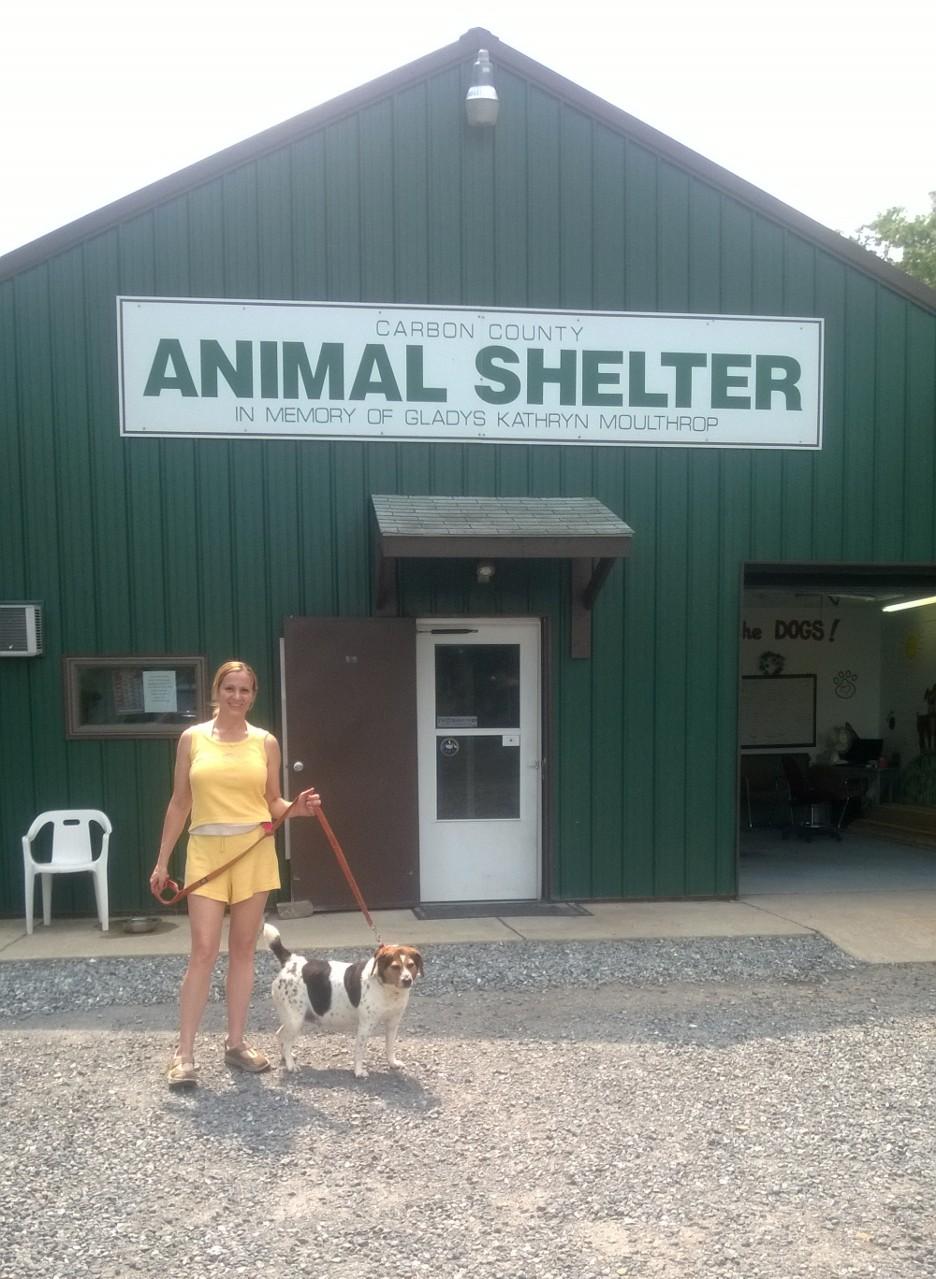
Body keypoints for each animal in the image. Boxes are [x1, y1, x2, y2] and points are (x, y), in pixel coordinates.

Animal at [263, 920, 424, 1079]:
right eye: (395, 966)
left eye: (411, 965)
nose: (407, 980)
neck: (387, 989)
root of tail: (290, 961)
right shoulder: (365, 1026)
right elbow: (360, 1051)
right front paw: (358, 1071)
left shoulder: (393, 1024)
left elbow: (390, 1047)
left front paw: (392, 1063)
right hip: (295, 1019)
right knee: (286, 1039)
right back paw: (290, 1064)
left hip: (291, 1019)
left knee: (280, 1035)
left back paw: (286, 1057)